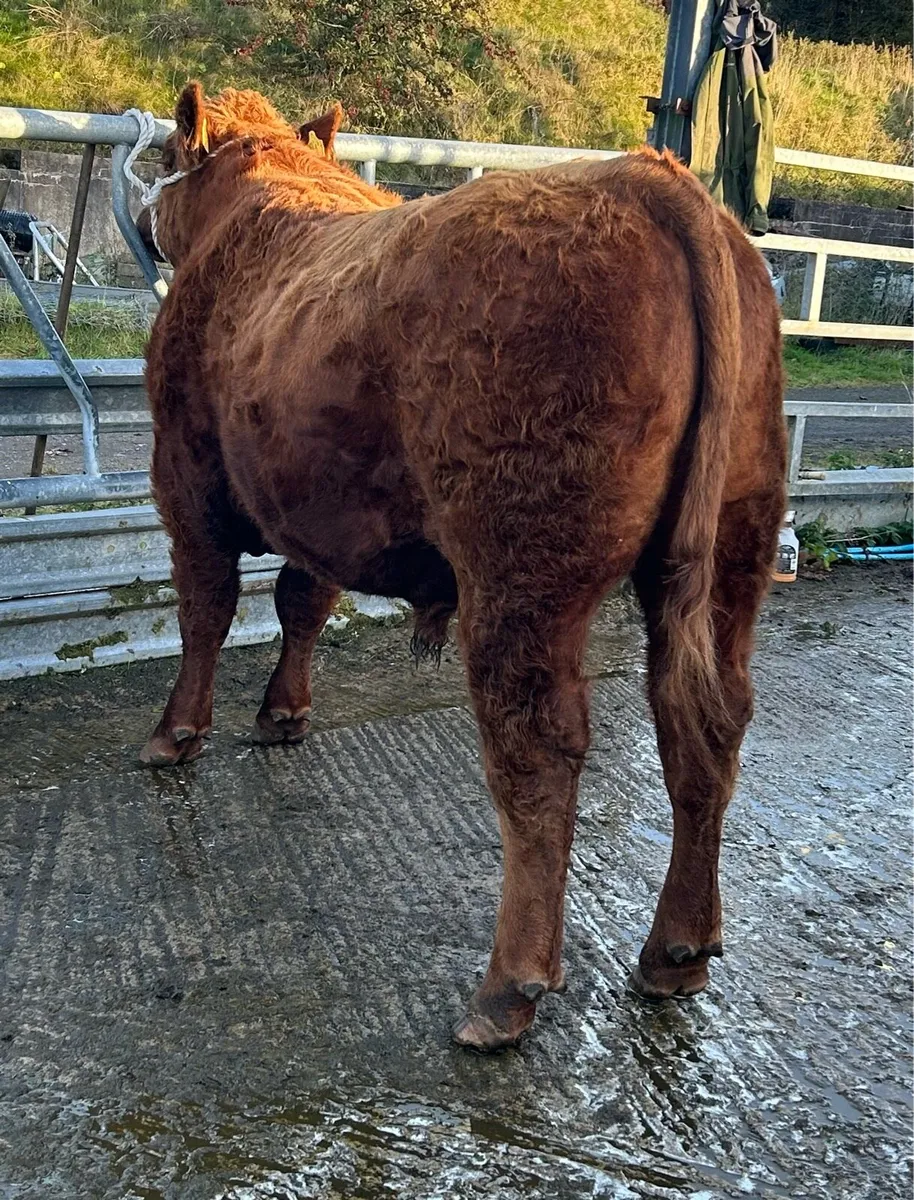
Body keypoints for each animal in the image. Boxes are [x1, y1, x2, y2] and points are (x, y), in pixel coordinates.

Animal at [137, 83, 786, 1052]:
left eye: (169, 157)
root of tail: (652, 181)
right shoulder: (318, 505)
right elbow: (302, 599)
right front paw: (284, 712)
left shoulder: (187, 476)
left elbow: (206, 609)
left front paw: (177, 732)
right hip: (732, 553)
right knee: (707, 722)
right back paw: (678, 948)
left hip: (519, 575)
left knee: (539, 753)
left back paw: (507, 989)